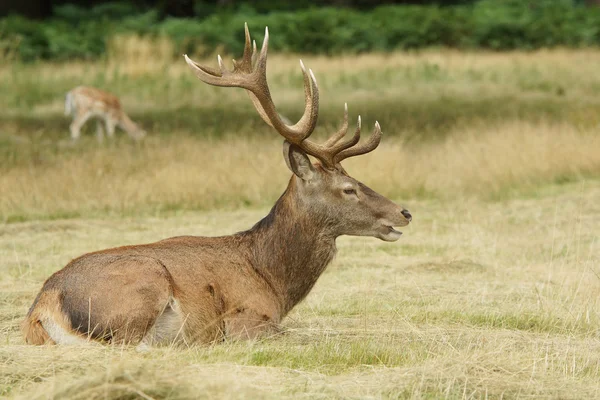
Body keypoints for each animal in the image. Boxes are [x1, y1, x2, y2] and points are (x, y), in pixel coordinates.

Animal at [21, 23, 410, 346]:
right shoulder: (245, 320)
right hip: (142, 286)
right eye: (349, 189)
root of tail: (42, 309)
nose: (404, 212)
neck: (272, 281)